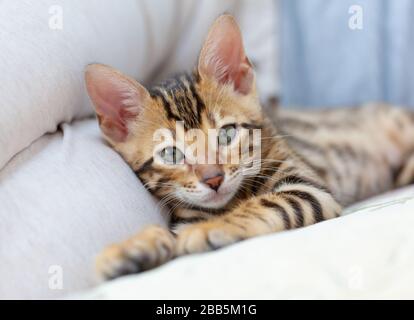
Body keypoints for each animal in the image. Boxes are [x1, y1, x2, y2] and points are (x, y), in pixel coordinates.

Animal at [84, 15, 414, 280]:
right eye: (171, 154)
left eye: (227, 134)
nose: (213, 179)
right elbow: (170, 233)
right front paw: (132, 247)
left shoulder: (307, 188)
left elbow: (265, 203)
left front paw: (210, 229)